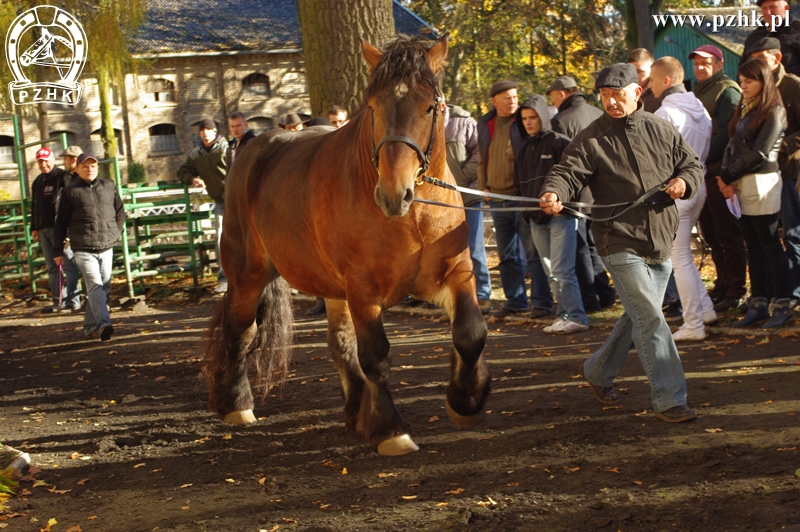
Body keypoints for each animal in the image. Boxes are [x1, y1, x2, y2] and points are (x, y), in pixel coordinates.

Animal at [202, 34, 488, 458]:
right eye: (372, 106)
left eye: (430, 106)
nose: (393, 194)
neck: (414, 216)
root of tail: (252, 146)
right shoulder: (363, 289)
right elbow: (375, 356)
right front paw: (389, 429)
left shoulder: (454, 272)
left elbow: (470, 333)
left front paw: (466, 401)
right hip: (247, 274)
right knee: (242, 331)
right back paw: (236, 404)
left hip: (330, 289)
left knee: (338, 343)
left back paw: (356, 412)